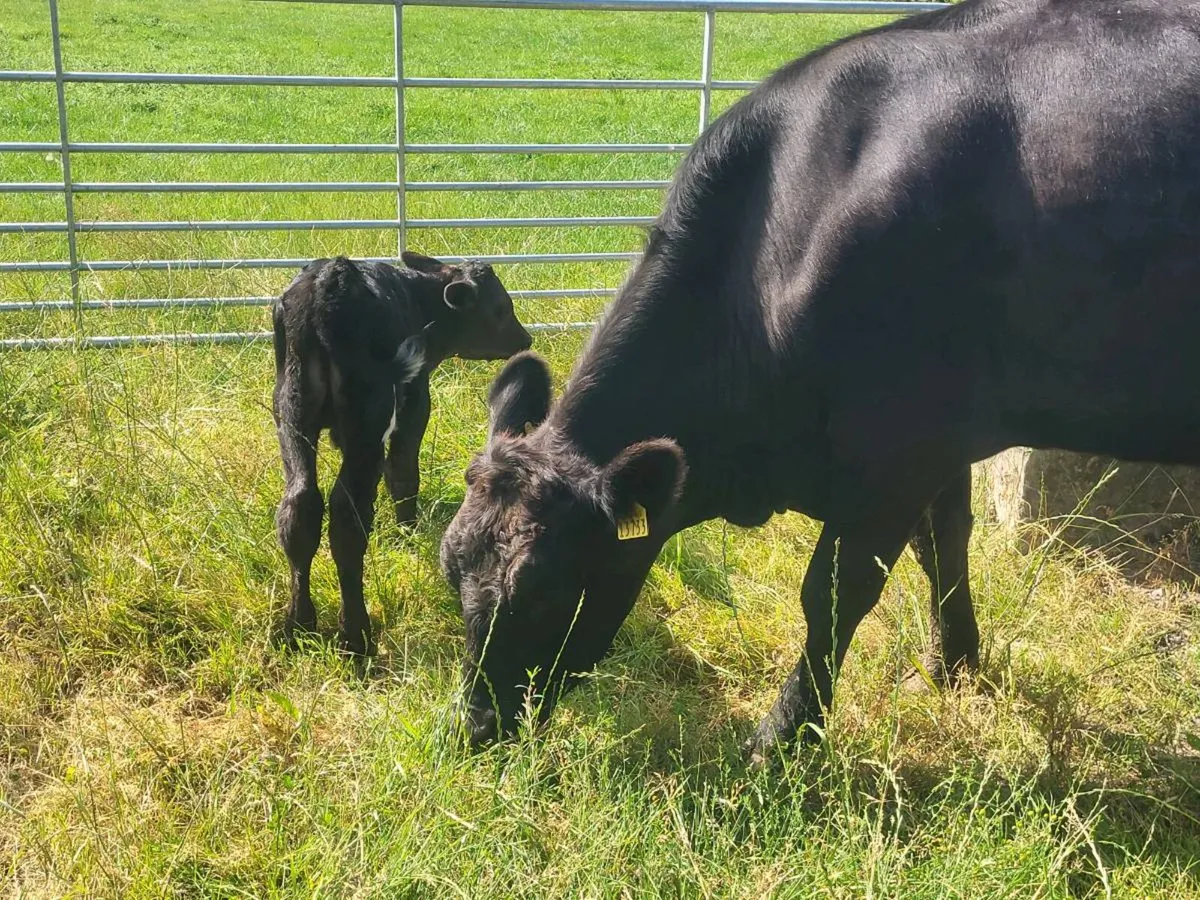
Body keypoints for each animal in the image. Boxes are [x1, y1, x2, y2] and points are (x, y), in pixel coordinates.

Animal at [272, 252, 532, 655]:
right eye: (503, 308)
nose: (525, 339)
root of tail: (330, 279)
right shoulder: (415, 403)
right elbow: (403, 473)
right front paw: (407, 532)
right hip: (368, 420)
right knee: (347, 514)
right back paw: (356, 635)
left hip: (291, 410)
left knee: (299, 506)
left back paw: (297, 626)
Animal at [438, 0, 1200, 761]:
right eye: (451, 567)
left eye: (543, 590)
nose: (474, 725)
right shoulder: (939, 441)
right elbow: (944, 544)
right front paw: (952, 663)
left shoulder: (898, 446)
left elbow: (835, 593)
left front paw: (781, 739)